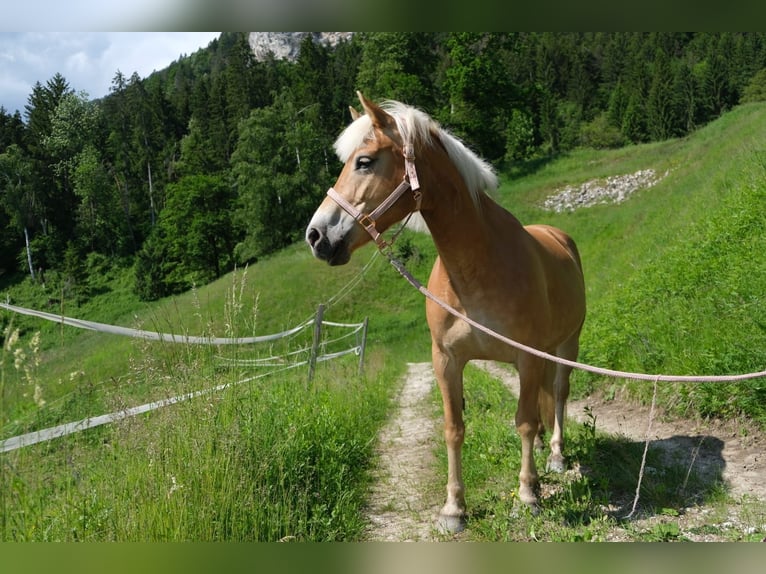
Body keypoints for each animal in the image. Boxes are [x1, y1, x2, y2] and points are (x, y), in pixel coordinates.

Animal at [306, 91, 588, 536]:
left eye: (364, 161)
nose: (316, 236)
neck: (477, 266)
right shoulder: (447, 360)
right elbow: (454, 429)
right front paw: (454, 508)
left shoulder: (526, 357)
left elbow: (524, 422)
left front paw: (528, 495)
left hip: (565, 345)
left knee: (558, 394)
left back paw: (556, 455)